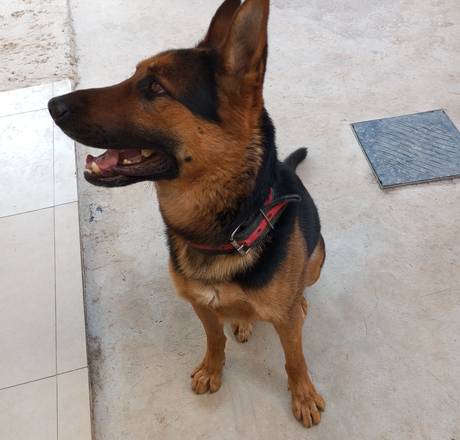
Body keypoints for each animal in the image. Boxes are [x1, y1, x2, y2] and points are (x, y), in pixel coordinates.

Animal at [48, 0, 326, 428]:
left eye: (155, 88)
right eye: (135, 75)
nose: (52, 105)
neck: (225, 232)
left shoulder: (286, 322)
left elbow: (294, 358)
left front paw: (304, 395)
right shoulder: (200, 305)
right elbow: (215, 339)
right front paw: (212, 369)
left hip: (317, 259)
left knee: (301, 290)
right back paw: (242, 318)